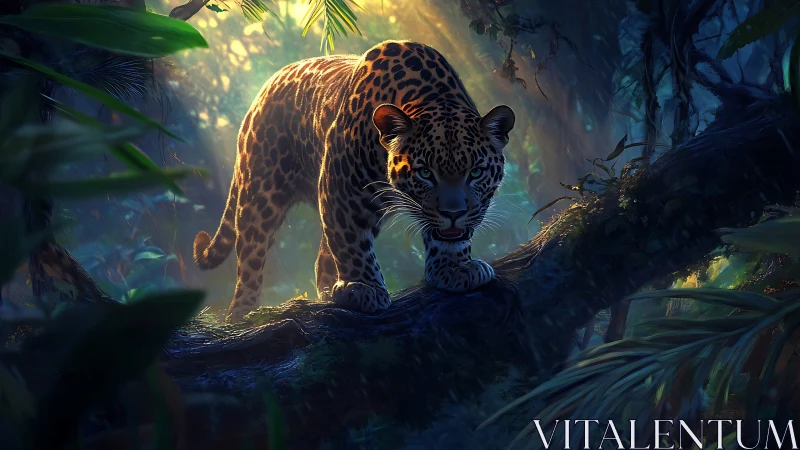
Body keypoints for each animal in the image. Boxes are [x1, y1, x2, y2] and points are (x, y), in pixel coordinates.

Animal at [193, 40, 515, 322]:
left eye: (475, 172)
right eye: (425, 173)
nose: (453, 213)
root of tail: (264, 89)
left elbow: (452, 237)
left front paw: (454, 268)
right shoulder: (342, 188)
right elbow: (351, 244)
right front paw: (364, 288)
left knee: (322, 254)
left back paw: (328, 292)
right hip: (261, 192)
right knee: (251, 253)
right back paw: (242, 313)